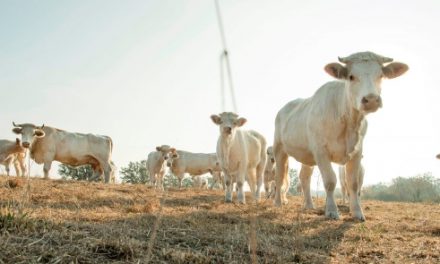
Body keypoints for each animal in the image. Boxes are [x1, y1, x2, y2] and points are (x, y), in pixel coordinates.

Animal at [274, 51, 408, 221]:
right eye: (351, 76)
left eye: (381, 75)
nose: (371, 99)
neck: (348, 121)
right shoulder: (321, 151)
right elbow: (330, 181)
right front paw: (331, 211)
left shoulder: (357, 151)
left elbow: (353, 183)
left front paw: (357, 212)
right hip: (279, 148)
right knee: (279, 177)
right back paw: (277, 203)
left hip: (307, 156)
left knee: (305, 178)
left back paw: (309, 205)